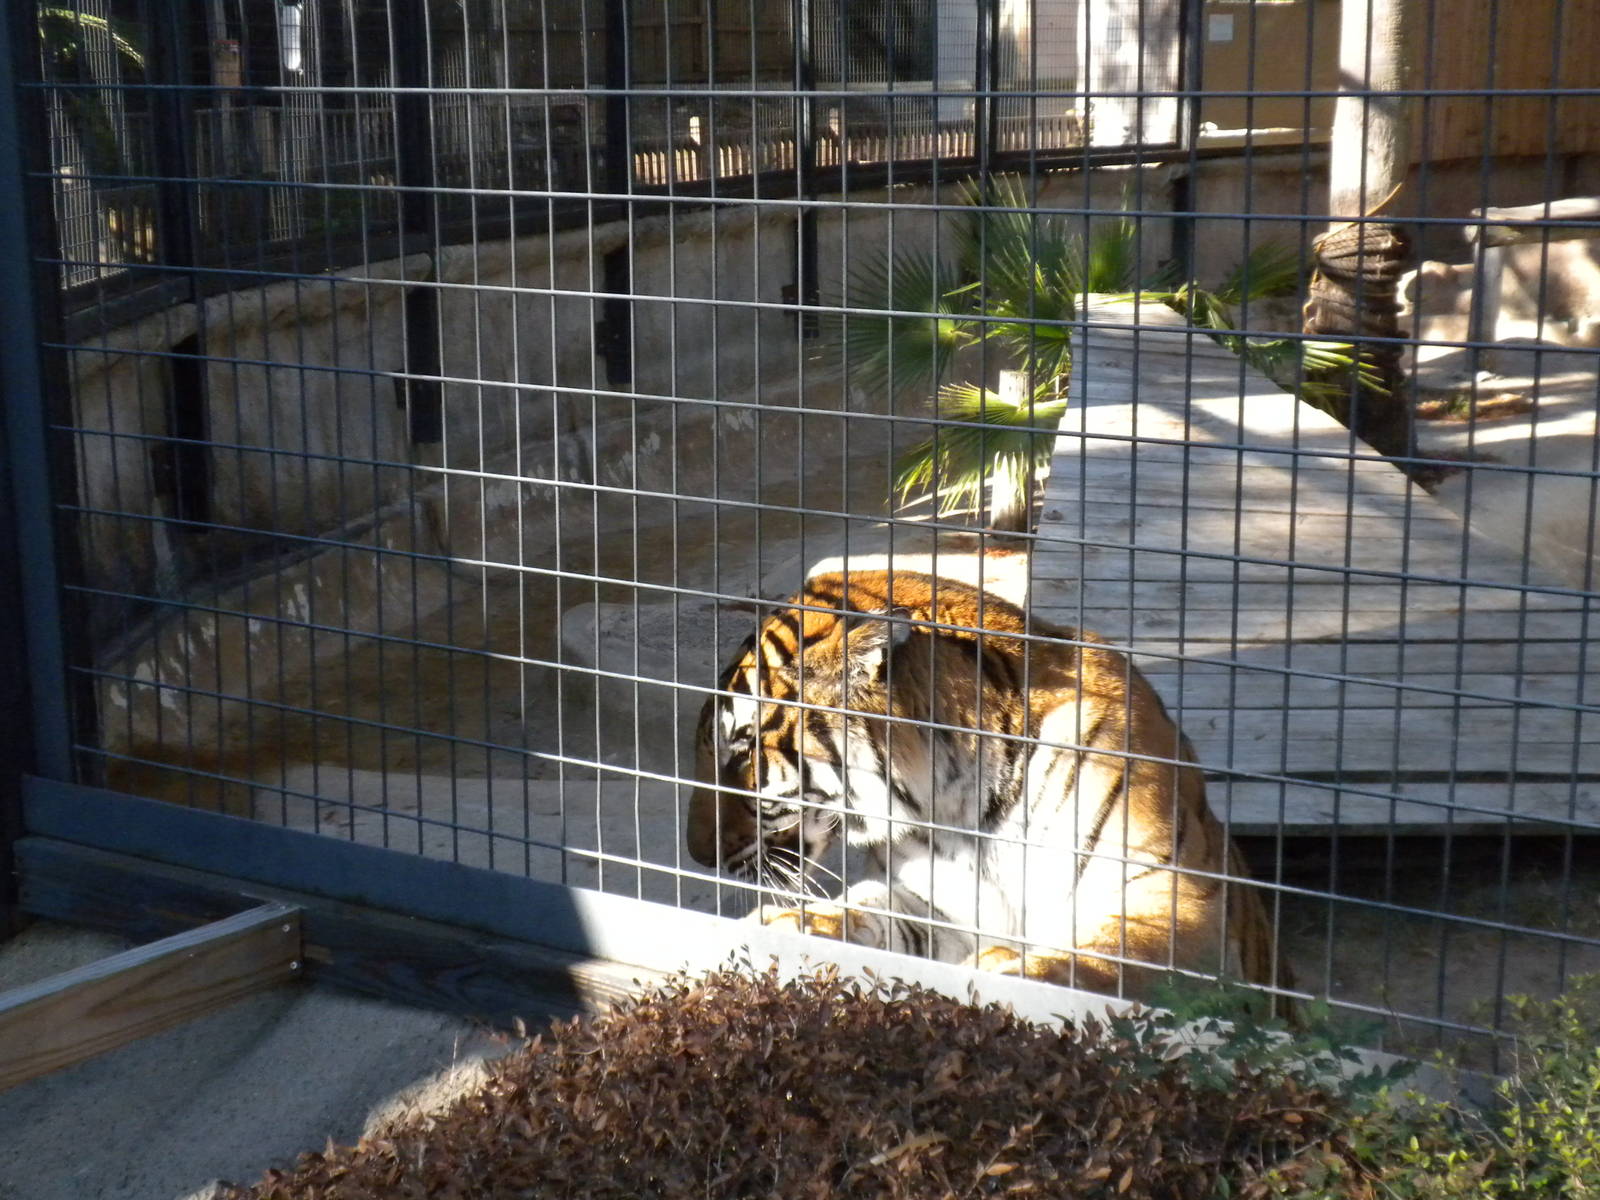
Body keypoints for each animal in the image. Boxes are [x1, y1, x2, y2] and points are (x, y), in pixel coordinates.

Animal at [687, 569, 1290, 1008]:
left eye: (741, 749)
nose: (698, 856)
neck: (963, 807)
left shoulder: (1178, 897)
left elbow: (1111, 954)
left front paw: (1010, 968)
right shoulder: (940, 904)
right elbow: (872, 913)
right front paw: (791, 923)